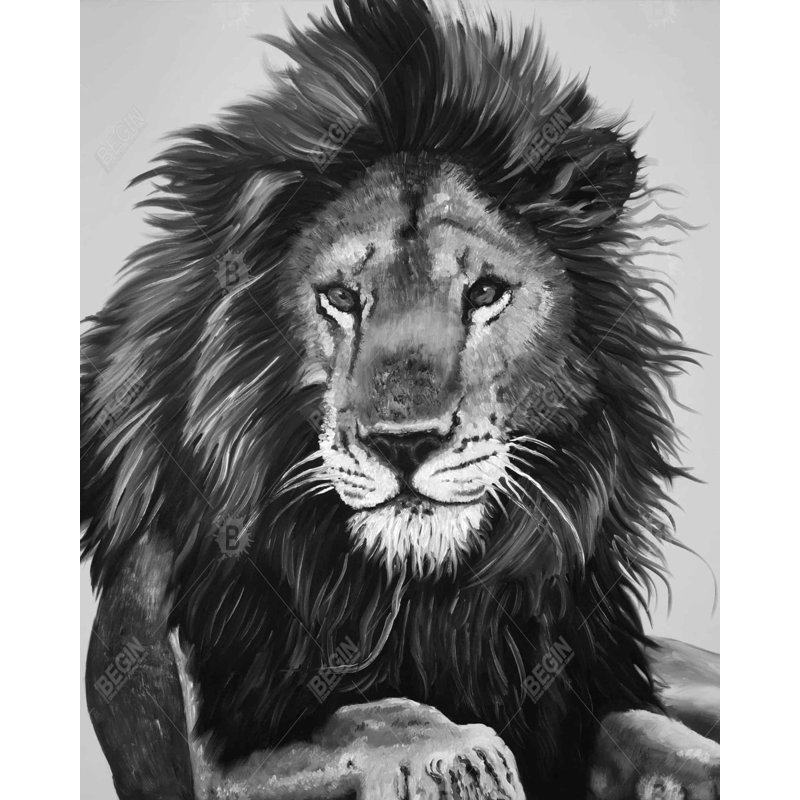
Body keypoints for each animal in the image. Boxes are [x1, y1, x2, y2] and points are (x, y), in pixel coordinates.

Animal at [81, 0, 719, 798]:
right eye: (342, 298)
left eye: (484, 293)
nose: (405, 443)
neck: (421, 596)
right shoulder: (214, 754)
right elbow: (378, 713)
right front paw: (462, 757)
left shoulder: (587, 678)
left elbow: (645, 728)